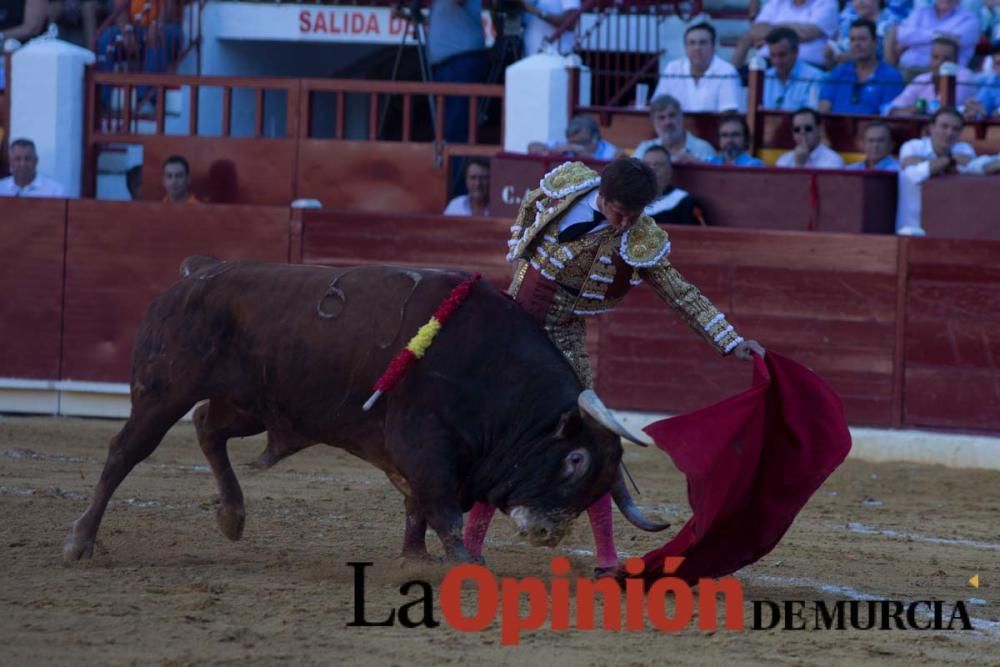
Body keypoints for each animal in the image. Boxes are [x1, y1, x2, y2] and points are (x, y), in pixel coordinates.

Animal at [62, 260, 660, 564]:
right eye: (576, 461)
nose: (546, 533)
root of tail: (186, 280)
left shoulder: (419, 453)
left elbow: (419, 505)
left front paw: (416, 559)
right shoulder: (424, 443)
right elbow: (440, 505)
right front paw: (466, 565)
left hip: (252, 402)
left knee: (210, 428)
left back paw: (232, 516)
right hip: (163, 391)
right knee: (125, 452)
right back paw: (80, 542)